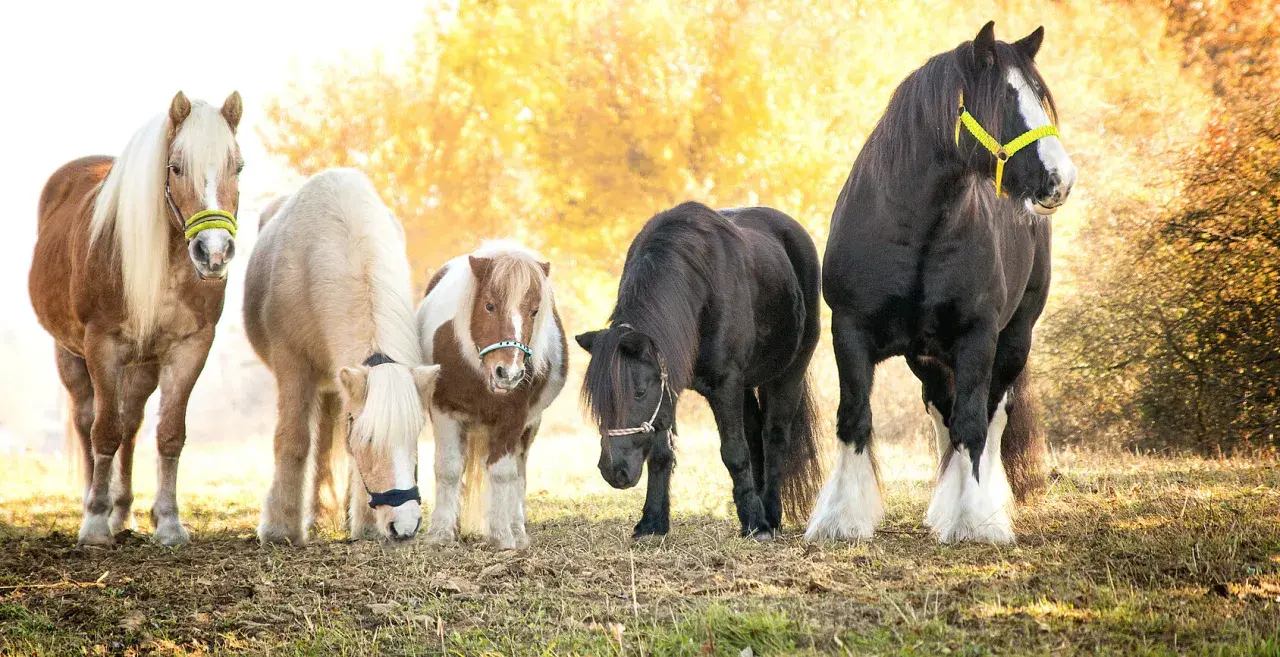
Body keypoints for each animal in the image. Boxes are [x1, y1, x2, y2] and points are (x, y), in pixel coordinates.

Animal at [29, 91, 243, 547]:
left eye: (238, 167)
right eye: (176, 167)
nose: (214, 253)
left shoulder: (189, 348)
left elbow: (169, 434)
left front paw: (169, 522)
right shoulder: (102, 345)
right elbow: (103, 431)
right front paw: (94, 523)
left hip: (143, 365)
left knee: (130, 422)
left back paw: (122, 510)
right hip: (70, 354)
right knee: (88, 421)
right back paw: (96, 505)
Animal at [244, 169, 439, 545]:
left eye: (415, 434)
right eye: (370, 439)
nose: (405, 527)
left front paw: (365, 523)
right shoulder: (293, 366)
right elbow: (293, 441)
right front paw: (279, 528)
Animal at [416, 242, 567, 549]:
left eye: (535, 311)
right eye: (489, 305)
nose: (507, 373)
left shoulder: (513, 420)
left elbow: (503, 473)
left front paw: (503, 536)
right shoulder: (444, 410)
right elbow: (449, 469)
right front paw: (440, 533)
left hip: (530, 427)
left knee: (519, 472)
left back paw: (517, 528)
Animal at [576, 202, 824, 539]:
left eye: (639, 392)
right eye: (599, 402)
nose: (614, 471)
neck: (699, 289)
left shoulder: (725, 384)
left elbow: (734, 453)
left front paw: (755, 524)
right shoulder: (671, 386)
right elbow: (661, 454)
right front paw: (653, 523)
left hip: (789, 372)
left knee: (774, 436)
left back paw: (770, 515)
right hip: (746, 386)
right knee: (755, 432)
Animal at [807, 22, 1077, 544]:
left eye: (1040, 96)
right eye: (1005, 100)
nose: (1060, 179)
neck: (915, 229)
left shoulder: (977, 336)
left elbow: (972, 423)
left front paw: (972, 520)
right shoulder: (849, 331)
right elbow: (855, 418)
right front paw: (842, 520)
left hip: (1015, 339)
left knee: (992, 415)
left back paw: (985, 504)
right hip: (926, 357)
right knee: (940, 411)